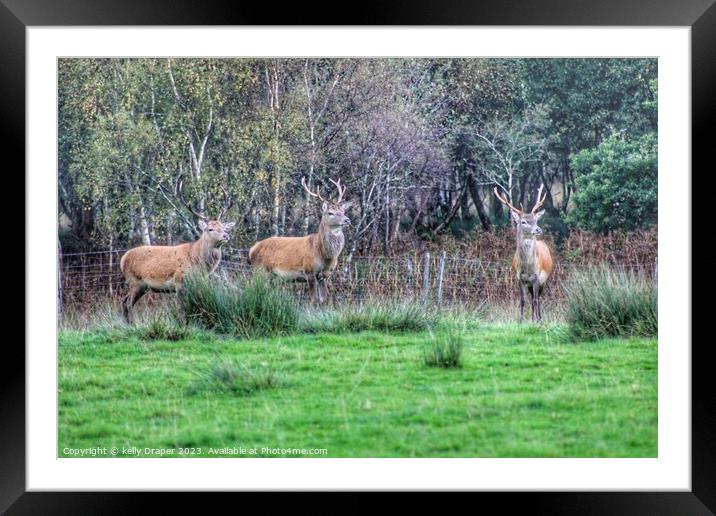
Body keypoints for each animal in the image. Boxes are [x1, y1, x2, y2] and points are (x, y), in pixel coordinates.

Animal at [119, 185, 235, 322]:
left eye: (223, 227)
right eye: (210, 229)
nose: (226, 235)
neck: (196, 259)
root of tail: (123, 258)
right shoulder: (179, 281)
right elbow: (182, 308)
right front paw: (183, 324)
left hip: (141, 286)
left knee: (124, 301)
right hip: (135, 281)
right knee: (128, 303)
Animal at [249, 175, 352, 304]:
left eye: (343, 211)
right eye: (330, 213)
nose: (347, 220)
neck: (323, 253)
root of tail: (252, 249)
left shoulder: (325, 275)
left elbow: (323, 299)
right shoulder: (309, 270)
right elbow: (314, 299)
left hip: (271, 276)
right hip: (260, 270)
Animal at [492, 184, 552, 322]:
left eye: (536, 220)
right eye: (523, 221)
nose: (538, 229)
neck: (527, 267)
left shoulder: (536, 276)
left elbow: (535, 300)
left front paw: (535, 320)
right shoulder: (520, 277)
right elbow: (523, 300)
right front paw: (520, 320)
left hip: (544, 280)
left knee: (538, 298)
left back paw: (539, 318)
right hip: (530, 283)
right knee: (532, 297)